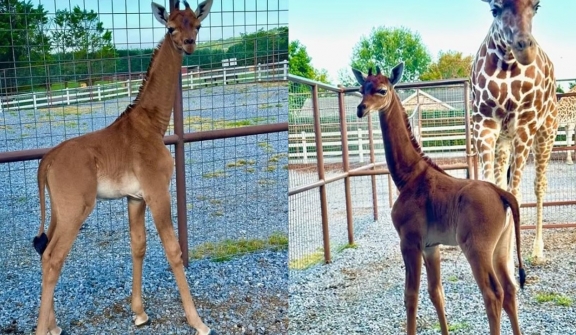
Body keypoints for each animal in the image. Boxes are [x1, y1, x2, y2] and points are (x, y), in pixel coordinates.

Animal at [29, 0, 214, 335]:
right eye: (171, 27)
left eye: (197, 24)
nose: (189, 44)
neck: (152, 125)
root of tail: (46, 161)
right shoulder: (157, 191)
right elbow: (173, 250)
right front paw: (198, 322)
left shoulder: (135, 198)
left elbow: (138, 246)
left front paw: (139, 313)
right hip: (76, 209)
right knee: (53, 257)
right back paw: (44, 328)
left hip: (59, 210)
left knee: (43, 251)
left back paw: (53, 325)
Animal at [352, 61, 528, 334]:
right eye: (362, 89)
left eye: (382, 90)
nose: (361, 109)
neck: (408, 176)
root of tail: (502, 193)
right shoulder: (431, 246)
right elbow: (436, 293)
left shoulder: (410, 241)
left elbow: (411, 295)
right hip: (502, 247)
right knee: (510, 290)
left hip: (476, 248)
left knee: (493, 293)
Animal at [472, 0, 560, 266]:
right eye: (495, 8)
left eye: (537, 6)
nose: (524, 49)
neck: (508, 64)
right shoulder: (484, 124)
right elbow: (493, 190)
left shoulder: (525, 126)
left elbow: (516, 195)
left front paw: (509, 263)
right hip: (504, 140)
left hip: (546, 133)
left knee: (539, 185)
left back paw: (537, 251)